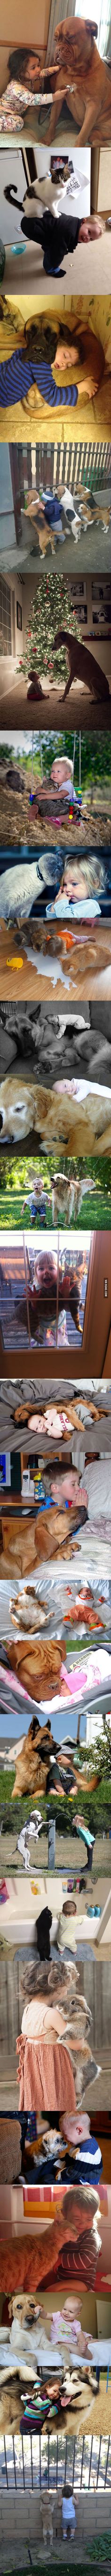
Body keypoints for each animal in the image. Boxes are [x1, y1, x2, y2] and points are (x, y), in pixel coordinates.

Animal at [48, 18, 111, 146]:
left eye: (71, 37)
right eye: (56, 40)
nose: (58, 49)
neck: (76, 72)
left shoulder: (93, 105)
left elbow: (82, 135)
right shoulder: (59, 97)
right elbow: (53, 120)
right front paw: (46, 139)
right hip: (97, 133)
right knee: (95, 139)